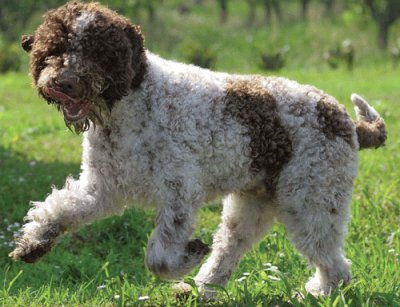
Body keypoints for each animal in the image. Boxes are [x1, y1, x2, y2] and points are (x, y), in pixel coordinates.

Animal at [11, 1, 388, 300]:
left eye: (96, 51)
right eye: (53, 49)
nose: (63, 83)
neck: (132, 102)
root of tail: (345, 120)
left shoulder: (179, 192)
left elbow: (159, 258)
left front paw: (188, 253)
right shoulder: (103, 187)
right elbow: (62, 207)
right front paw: (36, 240)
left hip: (311, 198)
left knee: (333, 262)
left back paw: (319, 293)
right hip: (254, 202)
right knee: (230, 247)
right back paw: (202, 290)